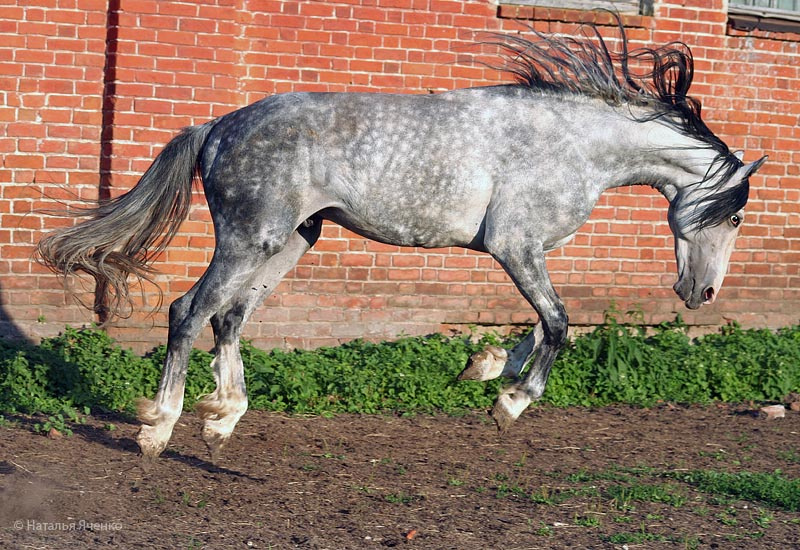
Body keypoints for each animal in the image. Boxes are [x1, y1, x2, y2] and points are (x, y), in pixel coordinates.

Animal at [37, 19, 766, 460]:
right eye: (734, 219)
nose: (702, 294)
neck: (571, 144)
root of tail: (216, 126)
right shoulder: (515, 247)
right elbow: (559, 324)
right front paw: (508, 403)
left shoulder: (528, 254)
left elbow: (543, 323)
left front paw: (486, 367)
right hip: (251, 237)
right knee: (189, 311)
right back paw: (159, 428)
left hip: (291, 242)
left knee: (230, 317)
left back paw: (223, 417)